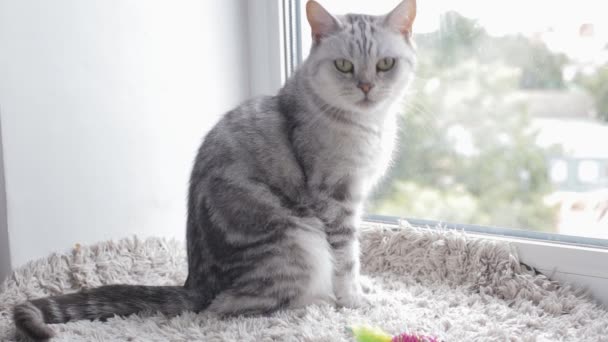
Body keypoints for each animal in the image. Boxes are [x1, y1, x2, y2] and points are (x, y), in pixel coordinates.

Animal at [13, 0, 414, 340]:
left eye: (385, 64)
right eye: (344, 65)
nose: (367, 86)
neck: (371, 125)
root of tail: (195, 285)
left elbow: (356, 259)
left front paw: (365, 287)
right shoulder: (336, 199)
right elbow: (347, 259)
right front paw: (355, 300)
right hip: (301, 242)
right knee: (236, 306)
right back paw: (319, 303)